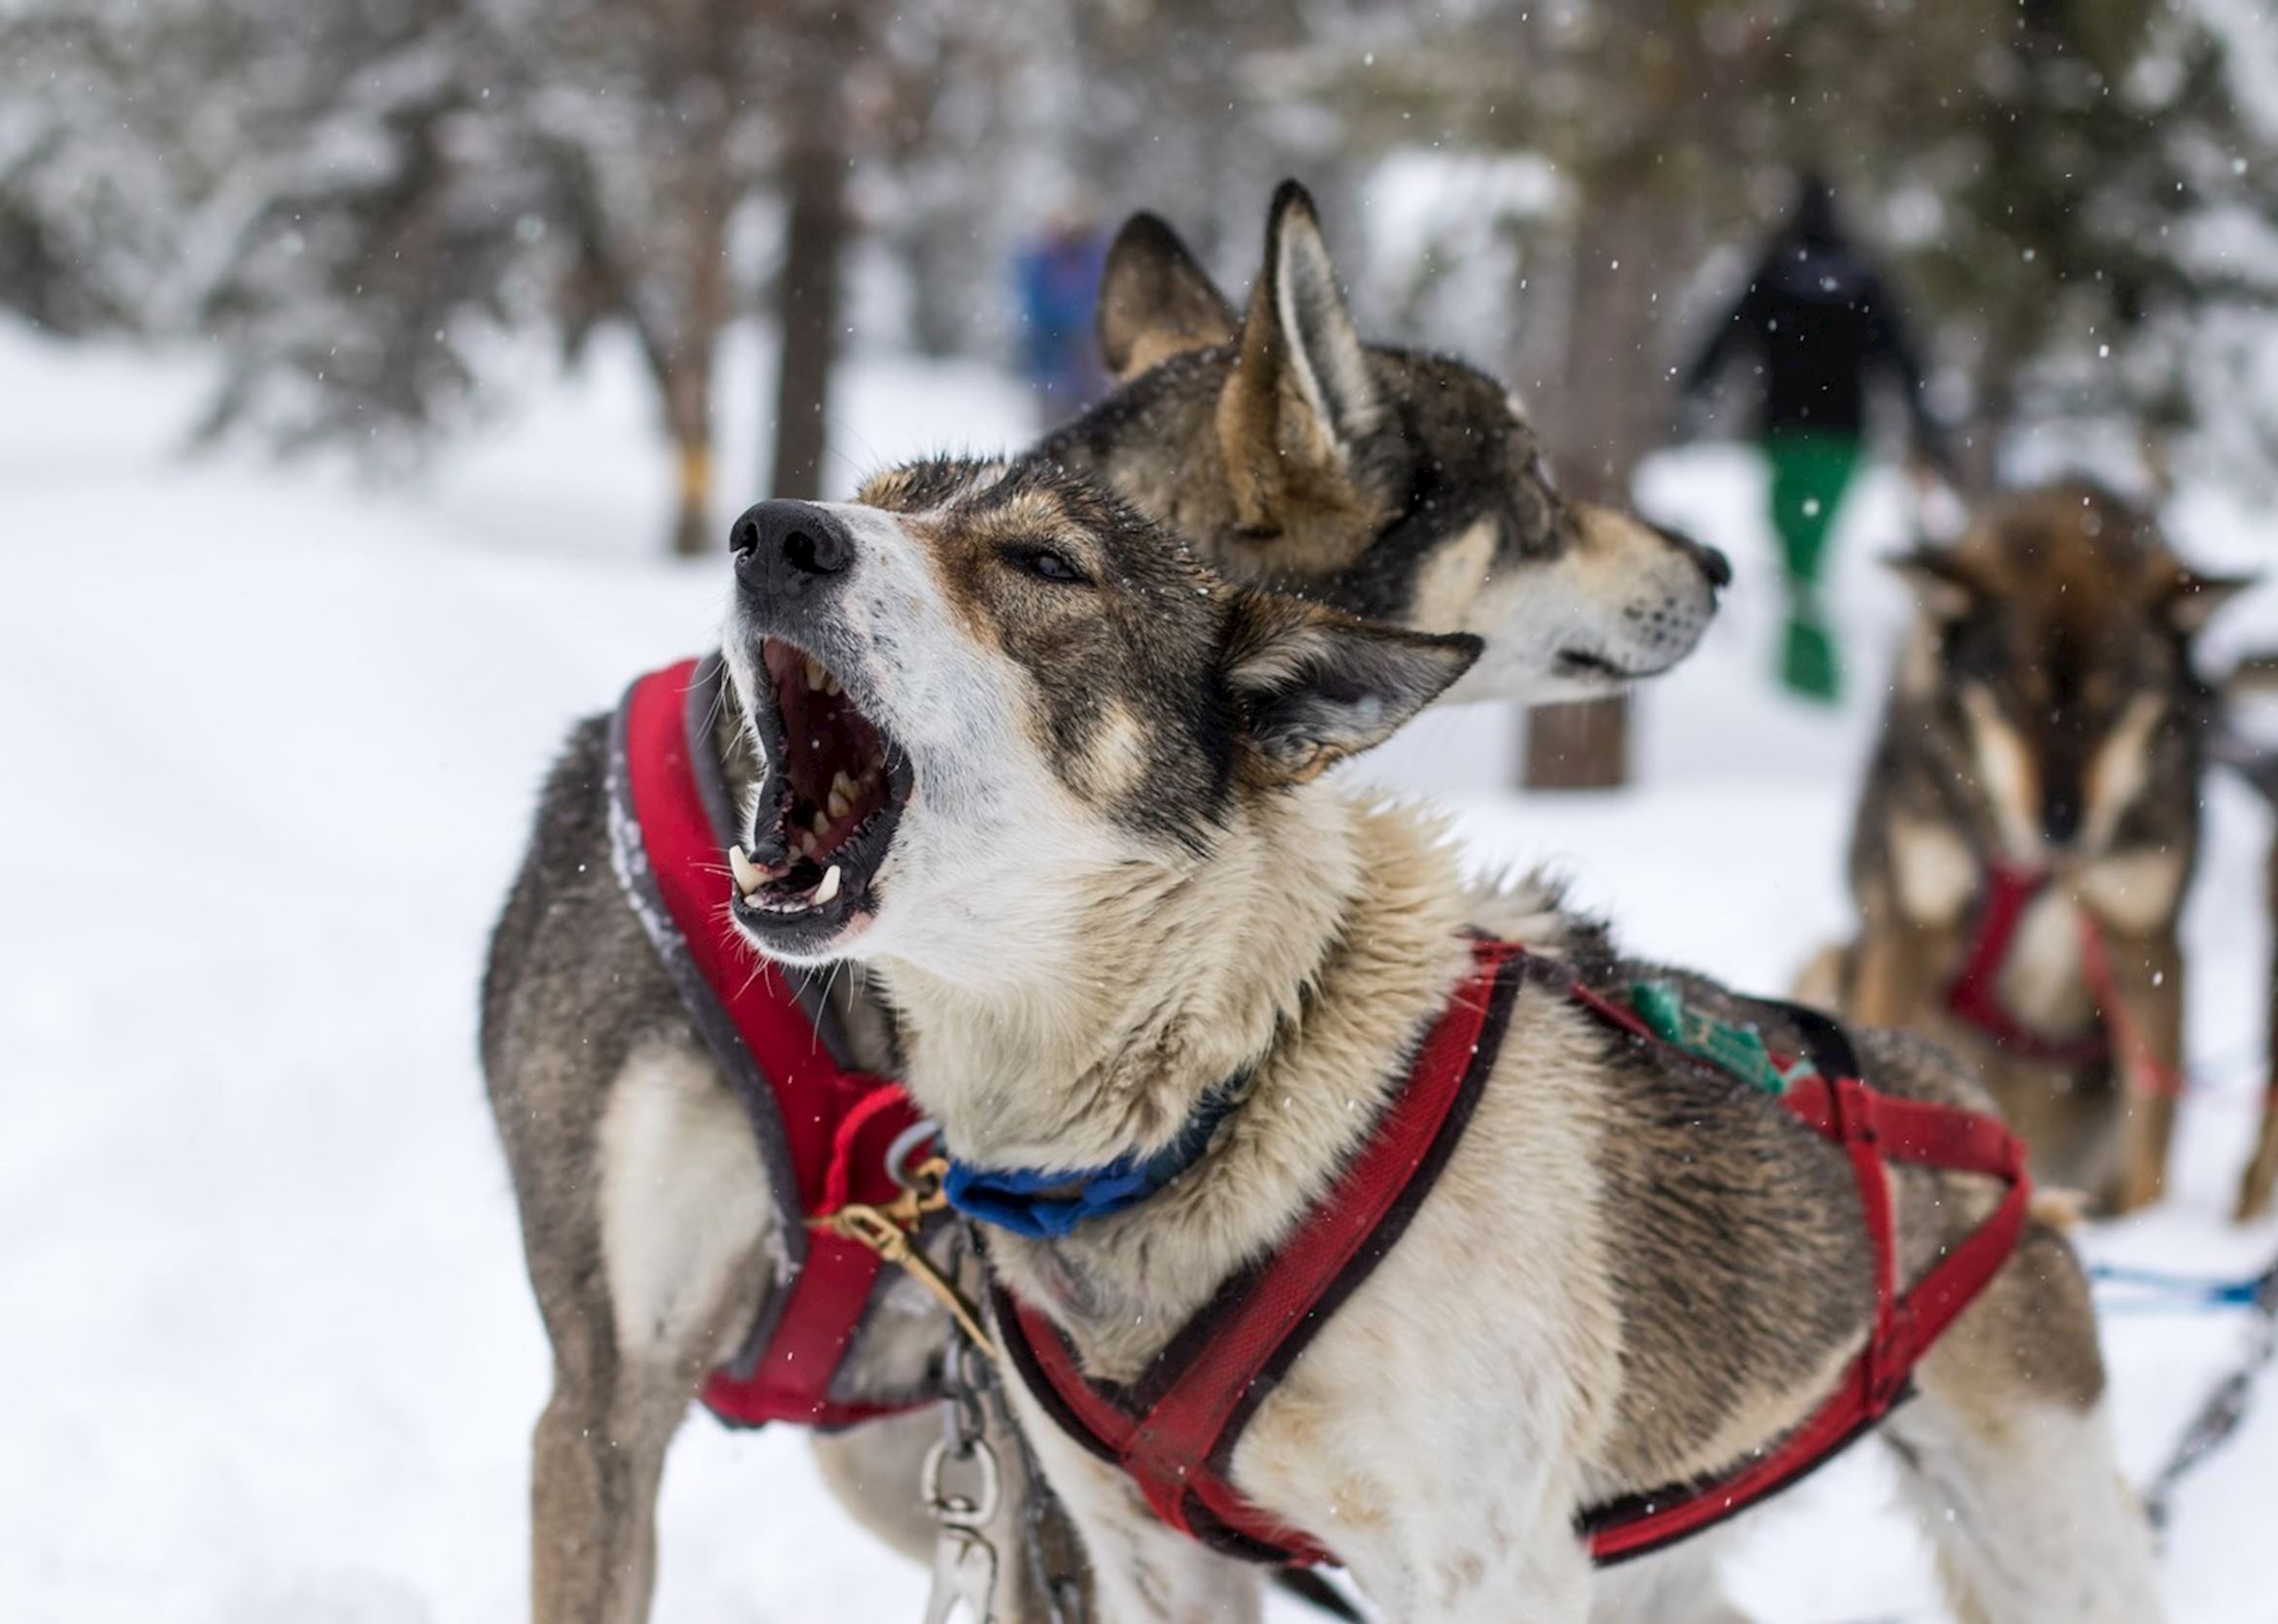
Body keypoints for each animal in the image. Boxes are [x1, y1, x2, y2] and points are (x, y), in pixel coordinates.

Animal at [720, 448, 2159, 1612]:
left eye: (1041, 562)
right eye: (872, 498)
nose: (771, 530)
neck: (1237, 1074)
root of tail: (1961, 1110)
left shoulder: (1484, 1572)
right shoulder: (1150, 1561)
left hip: (2044, 1534)